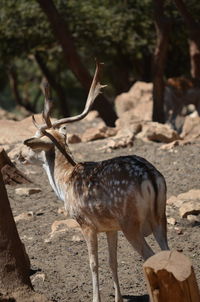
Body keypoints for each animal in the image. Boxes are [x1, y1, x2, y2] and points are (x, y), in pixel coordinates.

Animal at [24, 62, 170, 302]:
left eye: (33, 143)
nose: (19, 155)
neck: (64, 183)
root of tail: (151, 176)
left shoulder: (86, 224)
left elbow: (93, 264)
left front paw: (95, 298)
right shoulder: (110, 227)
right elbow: (113, 262)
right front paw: (118, 298)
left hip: (131, 222)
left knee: (150, 257)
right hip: (160, 217)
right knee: (169, 252)